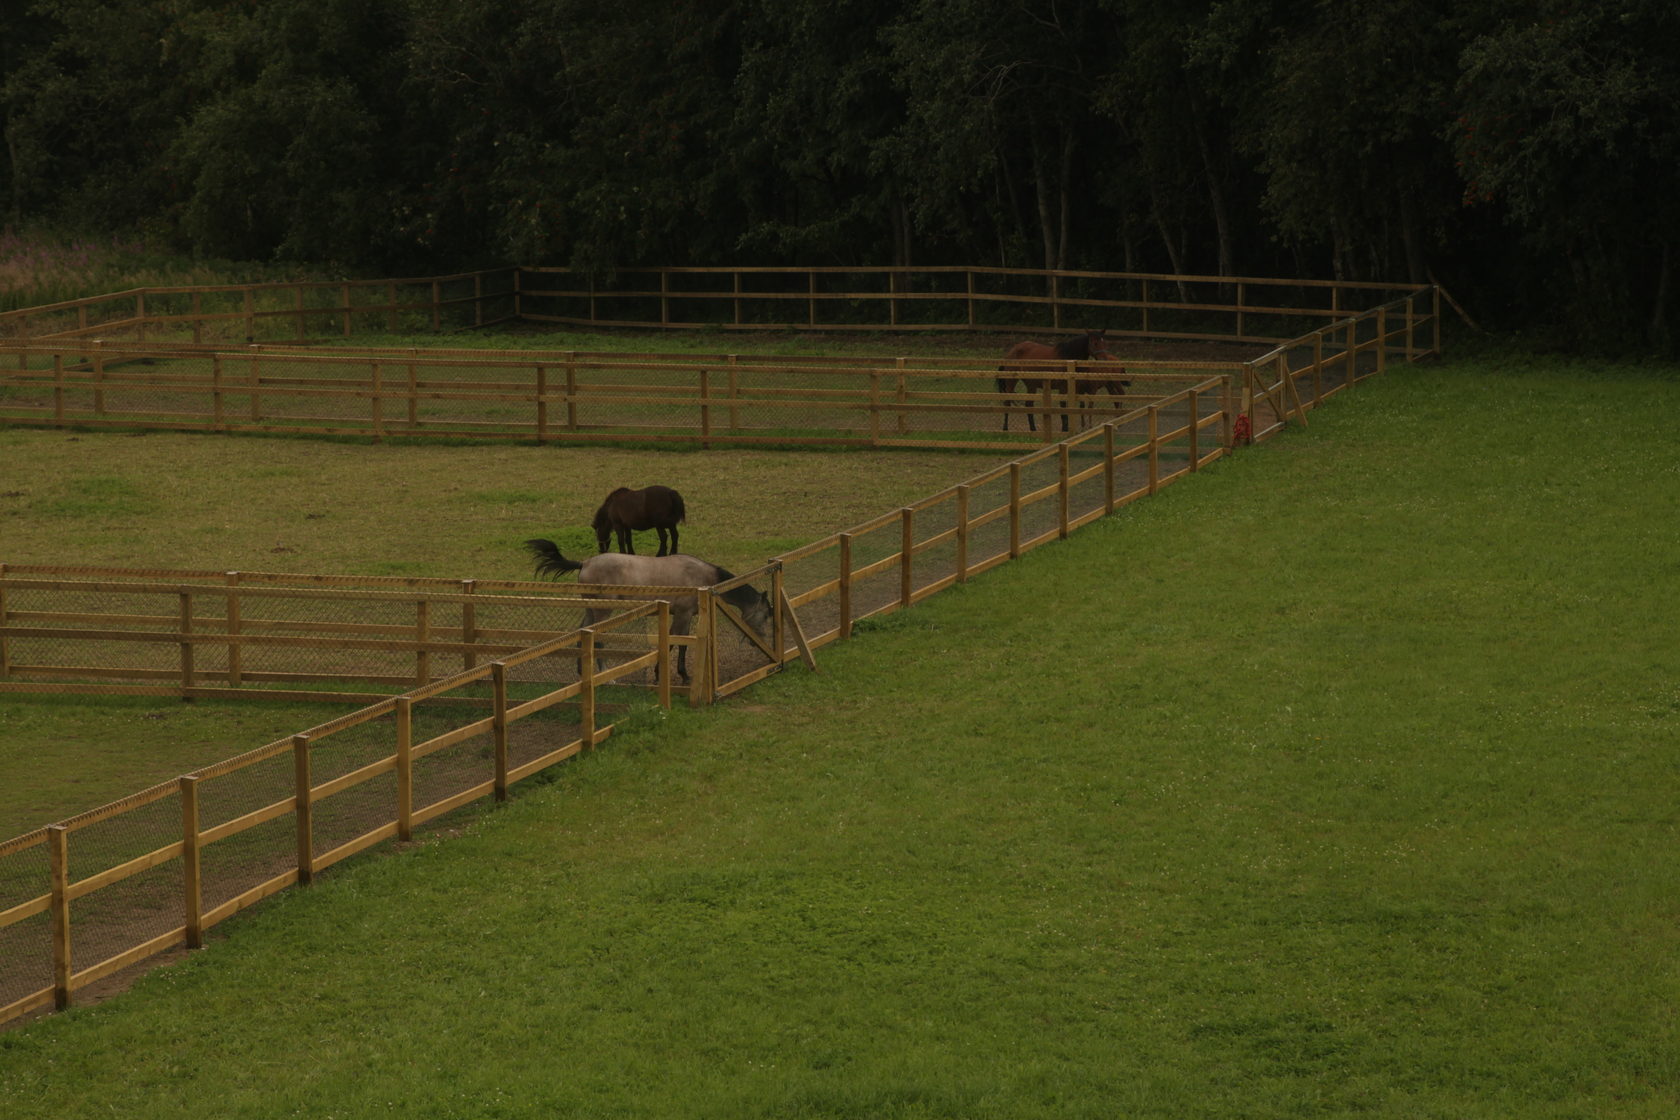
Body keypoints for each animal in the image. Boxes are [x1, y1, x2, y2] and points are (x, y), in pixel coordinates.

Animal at [520, 540, 769, 688]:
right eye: (767, 615)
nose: (760, 640)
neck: (703, 576)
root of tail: (585, 563)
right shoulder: (683, 615)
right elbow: (676, 643)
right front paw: (677, 675)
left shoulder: (683, 615)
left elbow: (677, 643)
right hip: (603, 611)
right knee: (597, 639)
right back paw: (607, 676)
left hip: (590, 608)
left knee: (582, 634)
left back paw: (583, 673)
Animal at [994, 329, 1128, 433]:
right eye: (1094, 343)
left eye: (1104, 343)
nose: (1105, 360)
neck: (1067, 358)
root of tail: (1011, 351)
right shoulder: (1063, 388)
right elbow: (1063, 407)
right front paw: (1064, 429)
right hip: (1011, 382)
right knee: (1007, 402)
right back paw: (1005, 428)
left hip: (1031, 385)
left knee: (1029, 405)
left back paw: (1033, 429)